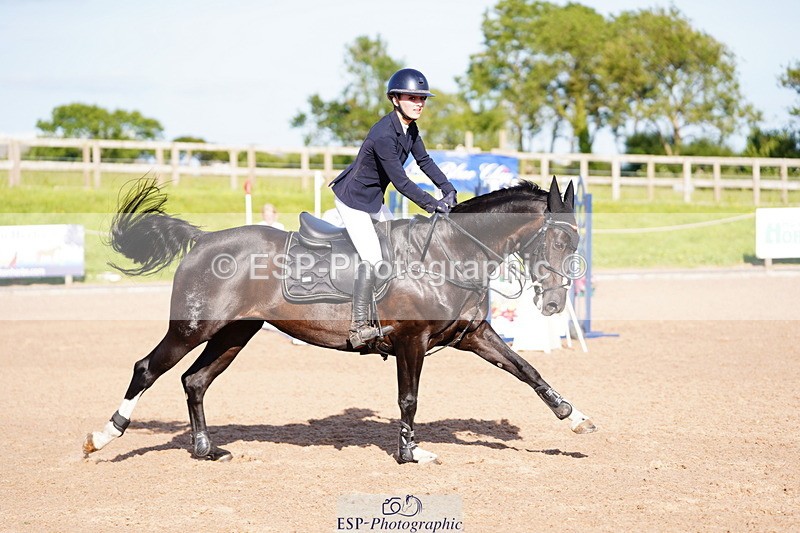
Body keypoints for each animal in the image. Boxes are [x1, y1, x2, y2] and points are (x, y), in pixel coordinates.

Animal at [83, 176, 597, 464]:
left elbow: (527, 370)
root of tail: (203, 240)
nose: (554, 305)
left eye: (575, 242)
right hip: (193, 328)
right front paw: (410, 453)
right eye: (557, 242)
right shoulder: (411, 341)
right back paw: (102, 437)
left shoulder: (472, 335)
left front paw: (574, 419)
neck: (452, 253)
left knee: (194, 380)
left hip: (234, 333)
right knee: (146, 369)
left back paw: (206, 449)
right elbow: (408, 399)